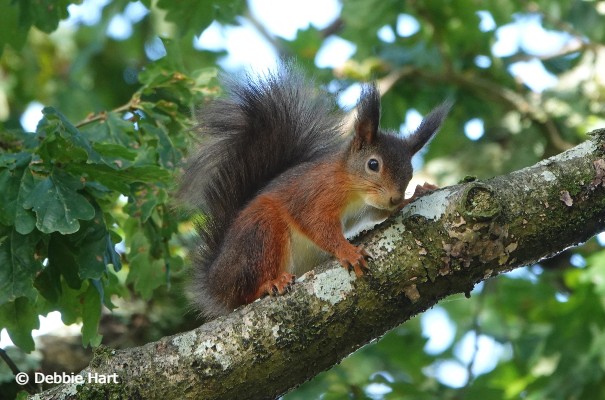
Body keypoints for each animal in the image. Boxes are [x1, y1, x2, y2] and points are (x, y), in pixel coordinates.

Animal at [179, 66, 448, 322]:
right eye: (373, 164)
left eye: (410, 172)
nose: (395, 197)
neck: (351, 188)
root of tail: (216, 282)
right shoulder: (315, 194)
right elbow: (316, 224)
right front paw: (347, 251)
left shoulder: (368, 206)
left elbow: (377, 213)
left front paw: (414, 195)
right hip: (261, 232)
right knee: (244, 293)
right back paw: (270, 284)